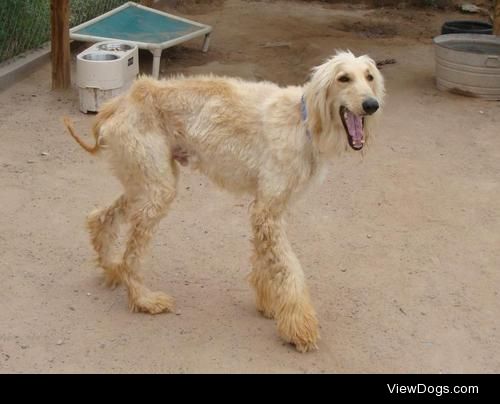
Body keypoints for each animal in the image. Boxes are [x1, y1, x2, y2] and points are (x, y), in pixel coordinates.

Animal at [64, 51, 384, 354]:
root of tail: (123, 100)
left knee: (100, 218)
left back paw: (110, 267)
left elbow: (266, 262)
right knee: (132, 254)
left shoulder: (269, 208)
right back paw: (143, 299)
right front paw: (299, 327)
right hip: (157, 189)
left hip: (144, 182)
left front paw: (269, 304)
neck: (303, 120)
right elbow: (289, 270)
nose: (372, 105)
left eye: (369, 77)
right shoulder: (267, 210)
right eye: (343, 78)